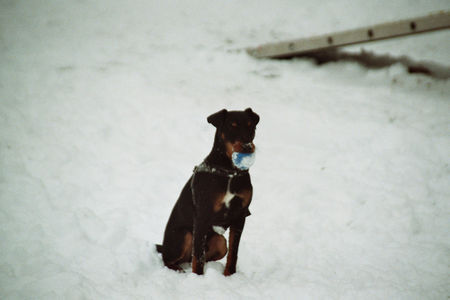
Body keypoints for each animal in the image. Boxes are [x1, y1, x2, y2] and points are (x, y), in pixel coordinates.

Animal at [156, 109, 258, 276]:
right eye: (232, 126)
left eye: (251, 126)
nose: (247, 146)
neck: (229, 171)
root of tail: (163, 246)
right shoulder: (202, 216)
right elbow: (198, 257)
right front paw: (198, 278)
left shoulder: (240, 214)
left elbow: (233, 252)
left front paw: (229, 275)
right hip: (184, 235)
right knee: (170, 260)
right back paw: (179, 270)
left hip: (220, 242)